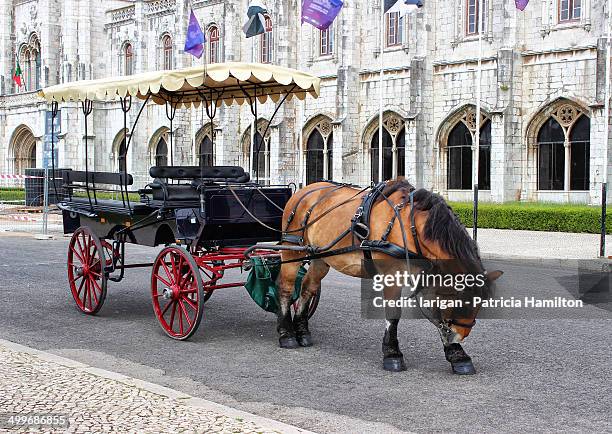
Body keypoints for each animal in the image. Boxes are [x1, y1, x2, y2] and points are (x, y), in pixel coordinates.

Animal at [278, 178, 502, 374]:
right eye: (461, 302)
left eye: (479, 304)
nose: (459, 337)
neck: (411, 227)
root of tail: (304, 190)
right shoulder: (392, 275)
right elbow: (393, 314)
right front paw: (392, 353)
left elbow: (435, 313)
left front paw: (456, 354)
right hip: (292, 250)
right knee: (286, 289)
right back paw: (286, 333)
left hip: (320, 258)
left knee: (307, 288)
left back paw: (302, 331)